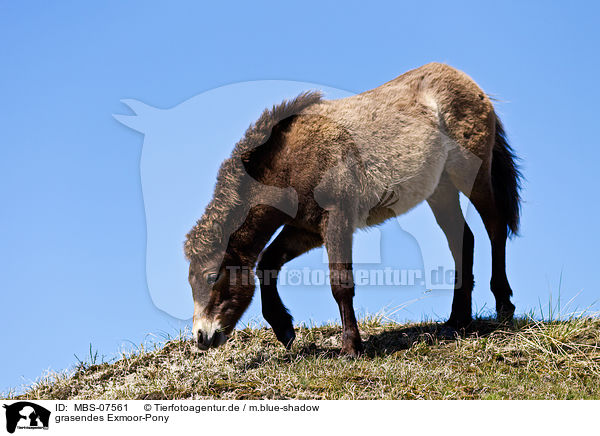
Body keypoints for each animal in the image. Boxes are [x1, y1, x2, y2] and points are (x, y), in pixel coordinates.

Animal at [185, 62, 524, 354]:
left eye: (212, 277)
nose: (202, 337)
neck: (289, 161)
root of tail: (467, 82)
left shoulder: (337, 220)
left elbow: (340, 284)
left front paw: (351, 347)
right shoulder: (307, 230)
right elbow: (267, 263)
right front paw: (283, 328)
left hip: (471, 177)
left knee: (495, 227)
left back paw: (504, 306)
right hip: (440, 190)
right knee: (462, 239)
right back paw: (457, 321)